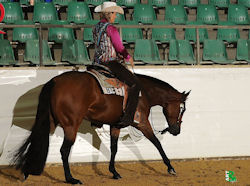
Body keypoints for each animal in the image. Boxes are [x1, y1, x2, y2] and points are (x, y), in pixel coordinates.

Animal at [11, 68, 190, 185]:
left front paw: (114, 172)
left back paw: (26, 173)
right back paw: (71, 179)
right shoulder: (142, 123)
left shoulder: (115, 125)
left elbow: (114, 148)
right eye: (182, 109)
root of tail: (54, 81)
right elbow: (157, 143)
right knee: (64, 150)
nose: (176, 130)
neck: (144, 92)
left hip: (49, 121)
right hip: (70, 126)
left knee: (36, 140)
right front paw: (170, 168)